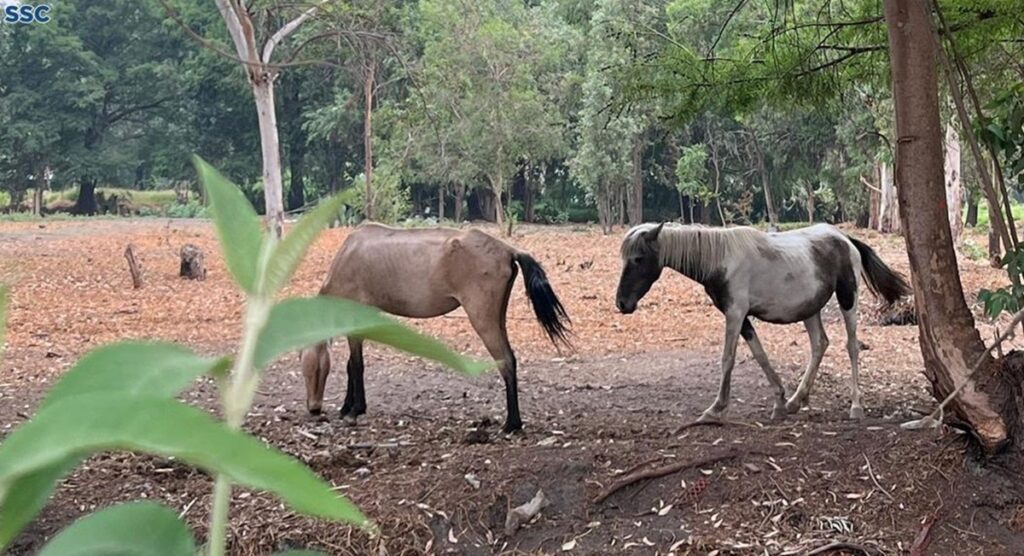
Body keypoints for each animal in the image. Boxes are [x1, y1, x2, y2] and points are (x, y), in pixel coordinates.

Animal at [300, 223, 572, 433]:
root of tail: (508, 250)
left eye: (312, 370)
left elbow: (356, 365)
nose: (313, 408)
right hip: (497, 317)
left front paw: (355, 410)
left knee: (505, 361)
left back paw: (511, 423)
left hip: (482, 319)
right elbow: (350, 365)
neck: (349, 257)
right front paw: (348, 406)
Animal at [615, 222, 909, 422]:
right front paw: (779, 400)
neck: (720, 259)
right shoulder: (742, 317)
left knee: (851, 347)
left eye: (638, 259)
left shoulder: (735, 314)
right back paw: (796, 401)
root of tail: (845, 239)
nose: (622, 303)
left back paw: (855, 406)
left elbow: (727, 358)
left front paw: (715, 408)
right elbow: (760, 355)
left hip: (848, 298)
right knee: (819, 344)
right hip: (810, 309)